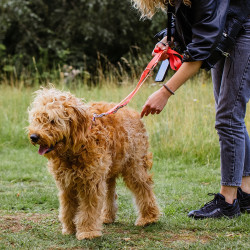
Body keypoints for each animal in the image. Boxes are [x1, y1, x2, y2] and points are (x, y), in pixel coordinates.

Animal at [27, 88, 160, 240]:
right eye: (37, 119)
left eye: (52, 120)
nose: (34, 137)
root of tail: (134, 113)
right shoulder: (67, 184)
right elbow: (67, 207)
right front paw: (69, 229)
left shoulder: (90, 183)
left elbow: (88, 209)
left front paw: (87, 232)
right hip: (109, 170)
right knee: (110, 193)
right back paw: (107, 217)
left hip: (134, 166)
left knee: (144, 188)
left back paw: (148, 218)